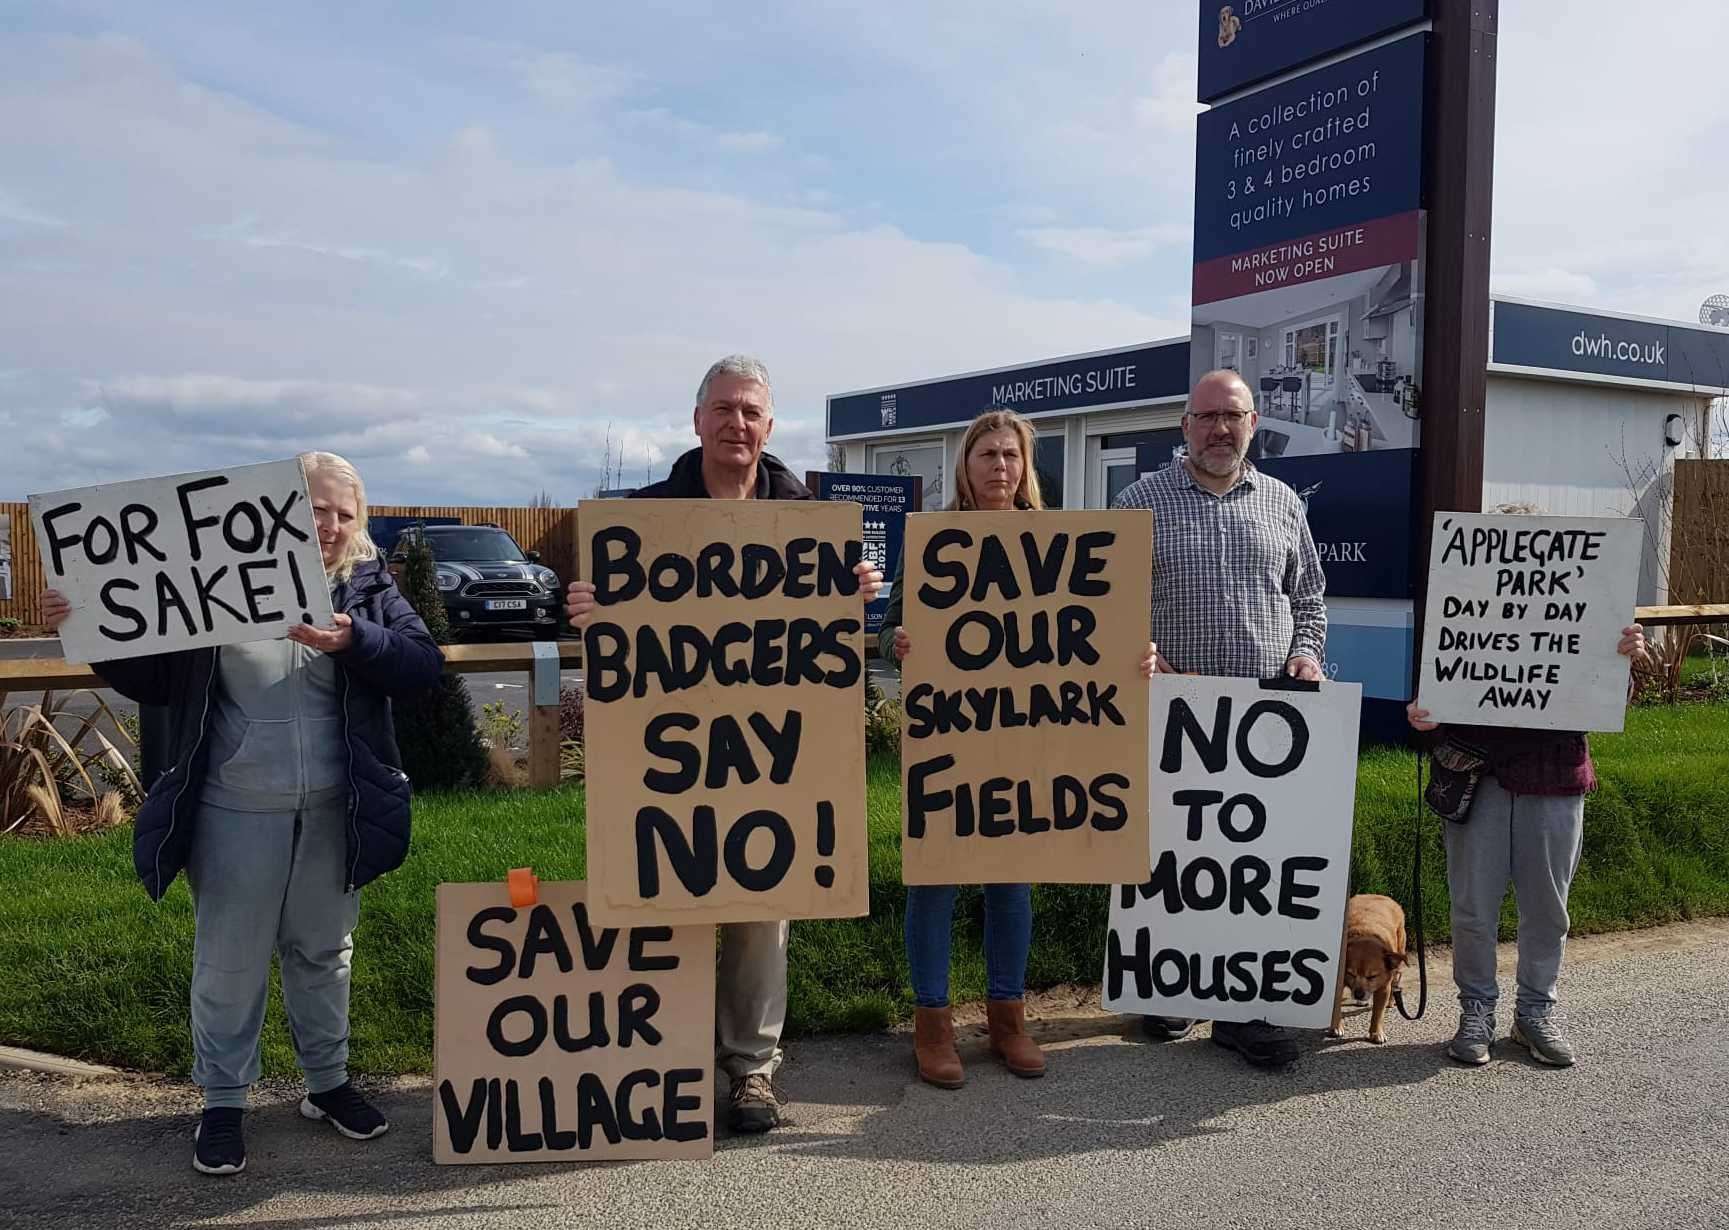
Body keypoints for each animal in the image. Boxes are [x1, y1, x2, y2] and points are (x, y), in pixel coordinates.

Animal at [1327, 899, 1410, 1044]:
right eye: (1351, 974)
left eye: (1373, 976)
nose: (1359, 994)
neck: (1365, 934)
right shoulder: (1338, 983)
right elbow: (1336, 1007)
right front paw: (1336, 1027)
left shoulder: (1383, 988)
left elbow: (1377, 1013)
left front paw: (1376, 1033)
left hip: (1397, 961)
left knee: (1395, 981)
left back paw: (1390, 1001)